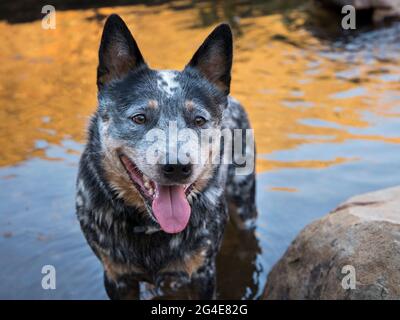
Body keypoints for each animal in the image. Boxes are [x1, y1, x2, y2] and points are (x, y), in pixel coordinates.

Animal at [76, 14, 256, 300]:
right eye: (139, 118)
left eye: (199, 120)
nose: (177, 167)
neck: (150, 226)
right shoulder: (116, 277)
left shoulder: (202, 273)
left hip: (244, 200)